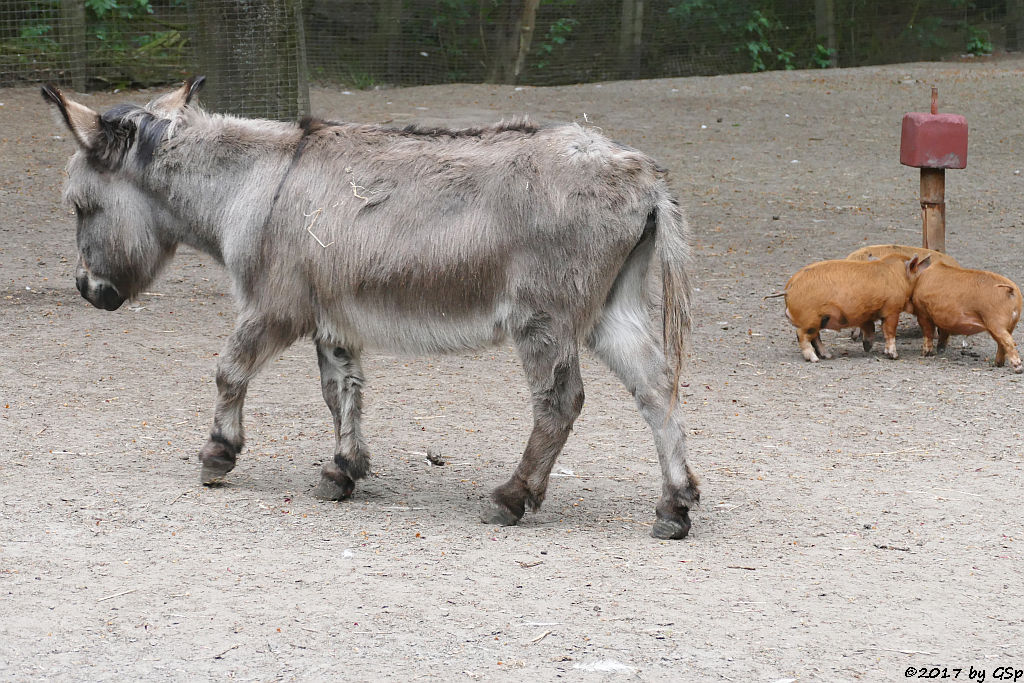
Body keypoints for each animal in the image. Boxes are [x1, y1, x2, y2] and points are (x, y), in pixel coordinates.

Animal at [782, 253, 929, 362]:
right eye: (918, 274)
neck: (901, 278)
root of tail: (789, 286)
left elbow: (872, 328)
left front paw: (867, 347)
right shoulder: (892, 309)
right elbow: (890, 332)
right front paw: (894, 356)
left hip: (819, 319)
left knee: (815, 337)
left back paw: (828, 356)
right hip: (810, 318)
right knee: (801, 335)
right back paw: (814, 359)